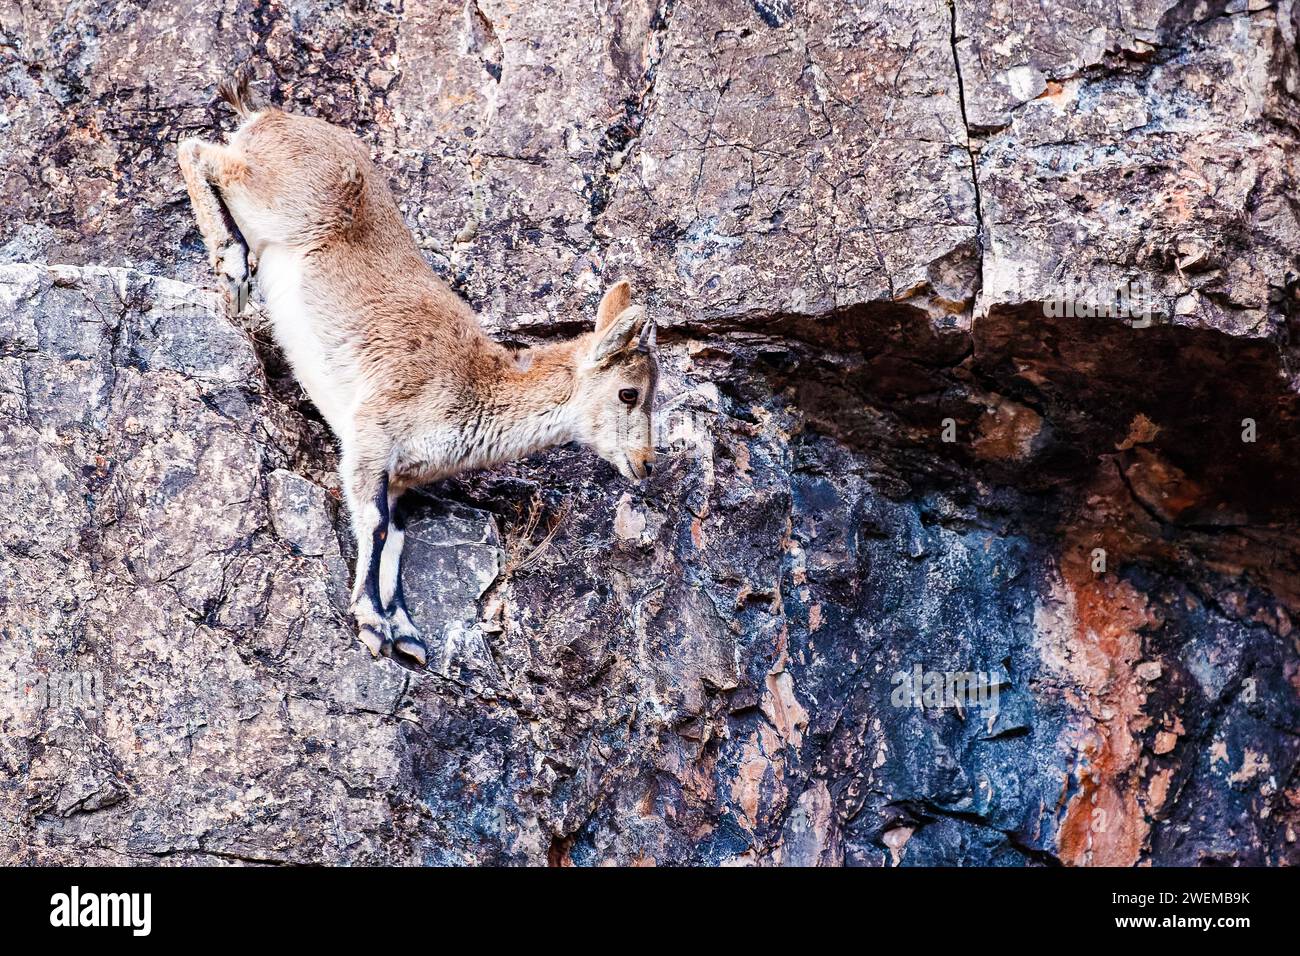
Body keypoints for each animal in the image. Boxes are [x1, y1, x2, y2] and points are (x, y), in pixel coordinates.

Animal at [176, 78, 655, 665]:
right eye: (629, 393)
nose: (646, 464)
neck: (478, 388)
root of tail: (268, 118)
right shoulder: (372, 433)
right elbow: (377, 527)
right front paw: (370, 623)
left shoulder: (401, 477)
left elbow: (398, 541)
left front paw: (404, 630)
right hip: (273, 198)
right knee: (197, 150)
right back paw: (232, 261)